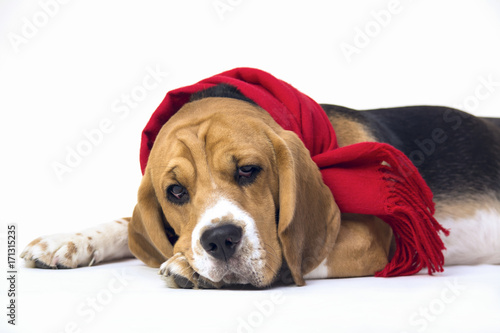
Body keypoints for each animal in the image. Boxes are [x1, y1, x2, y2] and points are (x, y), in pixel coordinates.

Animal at [21, 78, 500, 288]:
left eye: (249, 170)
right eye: (176, 192)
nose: (219, 241)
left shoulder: (380, 240)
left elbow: (290, 252)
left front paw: (187, 265)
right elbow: (125, 223)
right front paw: (68, 241)